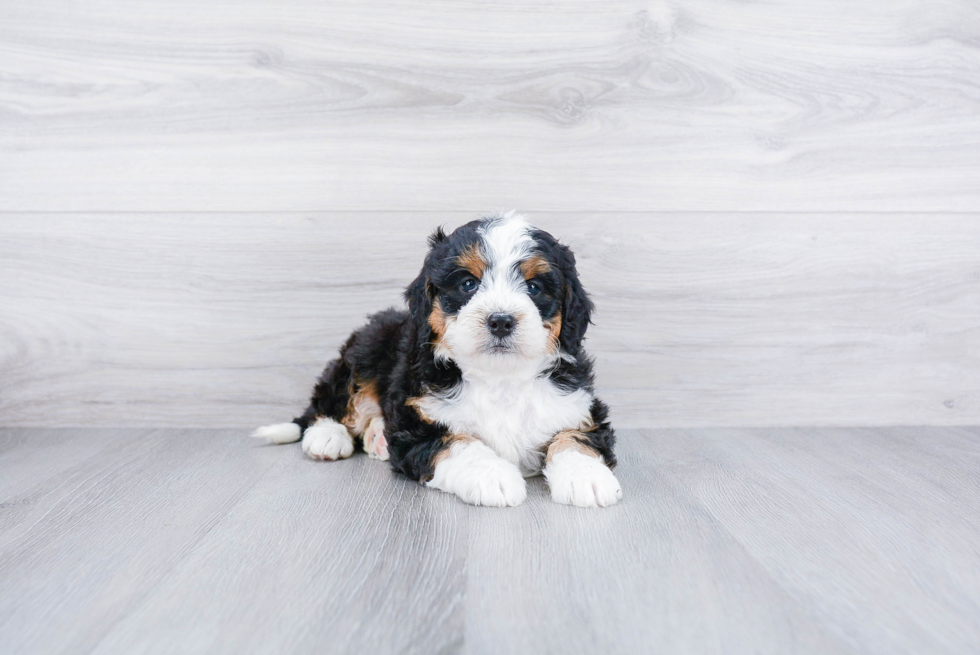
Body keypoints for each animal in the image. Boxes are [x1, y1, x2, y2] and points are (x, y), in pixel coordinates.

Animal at [253, 213, 620, 510]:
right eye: (468, 284)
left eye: (534, 287)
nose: (501, 321)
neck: (500, 377)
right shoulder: (417, 425)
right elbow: (458, 444)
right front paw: (493, 476)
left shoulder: (580, 407)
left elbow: (576, 437)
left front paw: (586, 476)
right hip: (365, 350)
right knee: (332, 400)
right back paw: (328, 436)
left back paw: (376, 437)